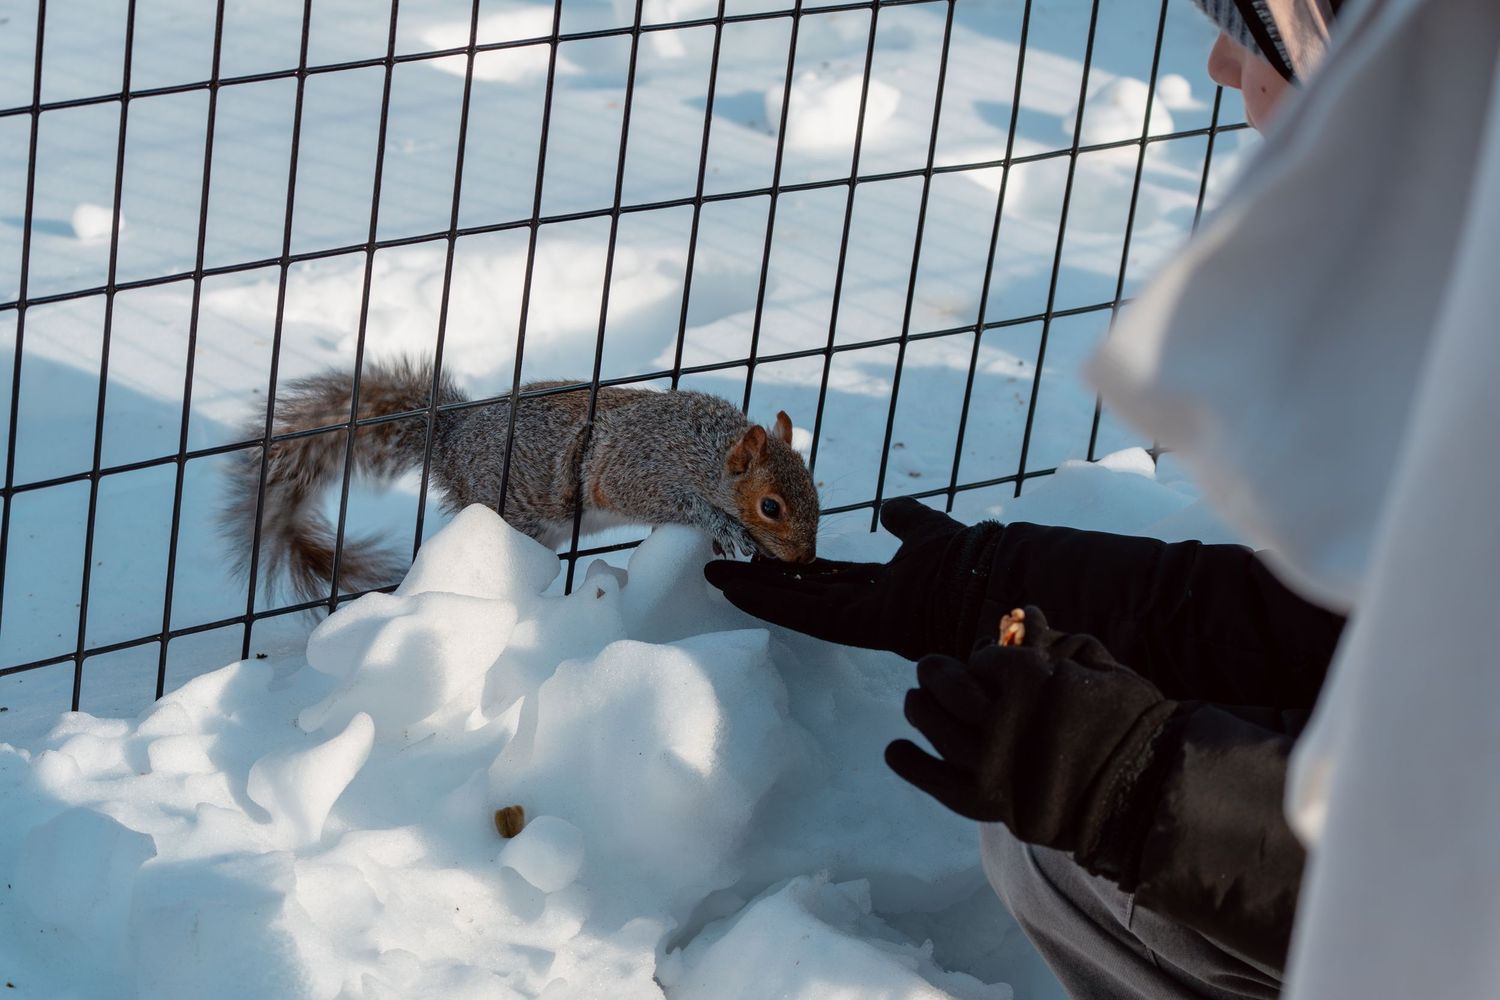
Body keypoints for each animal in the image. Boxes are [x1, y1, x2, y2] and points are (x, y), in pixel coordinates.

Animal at [220, 358, 820, 601]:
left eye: (816, 493)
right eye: (770, 507)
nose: (807, 559)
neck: (708, 451)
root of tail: (451, 436)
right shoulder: (639, 468)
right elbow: (665, 500)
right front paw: (724, 526)